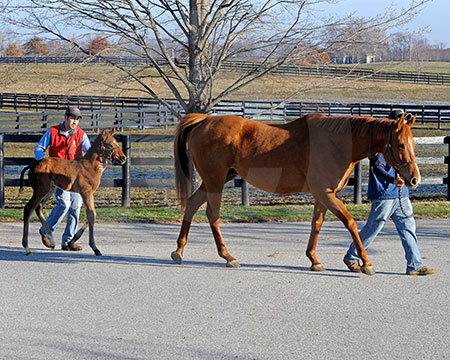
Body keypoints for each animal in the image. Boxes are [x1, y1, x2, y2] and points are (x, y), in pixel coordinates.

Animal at [171, 111, 418, 274]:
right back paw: (227, 256)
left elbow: (316, 224)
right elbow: (350, 223)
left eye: (413, 143)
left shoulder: (322, 196)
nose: (414, 179)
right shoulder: (327, 194)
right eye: (401, 144)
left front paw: (314, 260)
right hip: (215, 182)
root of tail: (205, 120)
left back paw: (179, 251)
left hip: (215, 180)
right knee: (212, 215)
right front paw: (365, 263)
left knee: (192, 204)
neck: (335, 143)